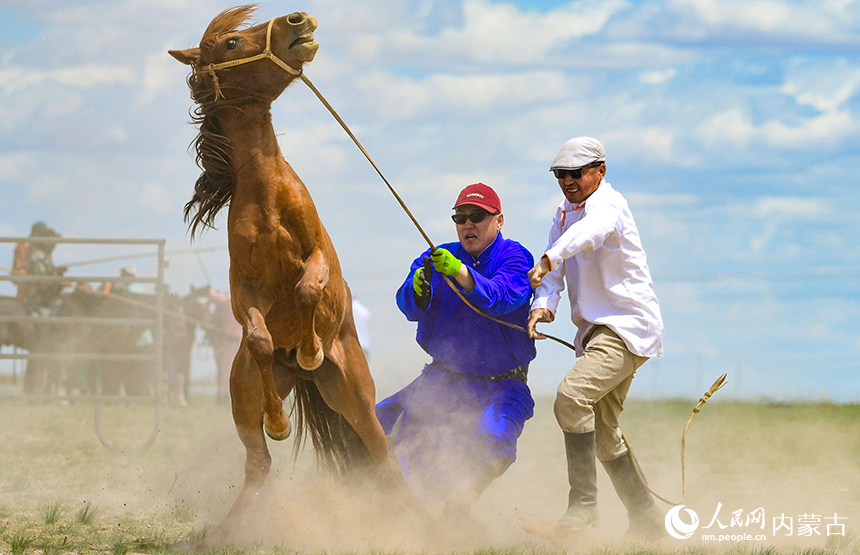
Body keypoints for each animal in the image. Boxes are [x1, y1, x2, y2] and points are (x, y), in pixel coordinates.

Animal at [169, 5, 402, 547]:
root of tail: (298, 379)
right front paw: (278, 420)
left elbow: (308, 286)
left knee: (384, 461)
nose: (299, 19)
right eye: (232, 42)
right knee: (258, 464)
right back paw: (220, 533)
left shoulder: (319, 254)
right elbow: (257, 334)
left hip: (355, 395)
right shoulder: (243, 293)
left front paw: (312, 346)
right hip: (243, 395)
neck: (267, 195)